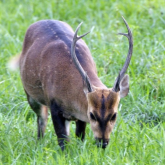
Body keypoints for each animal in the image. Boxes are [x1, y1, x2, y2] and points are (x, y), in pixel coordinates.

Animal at [19, 17, 133, 151]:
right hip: (30, 95)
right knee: (42, 119)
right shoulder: (54, 105)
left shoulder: (80, 115)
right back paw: (39, 144)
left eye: (114, 115)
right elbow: (62, 140)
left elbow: (79, 136)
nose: (102, 143)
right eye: (92, 115)